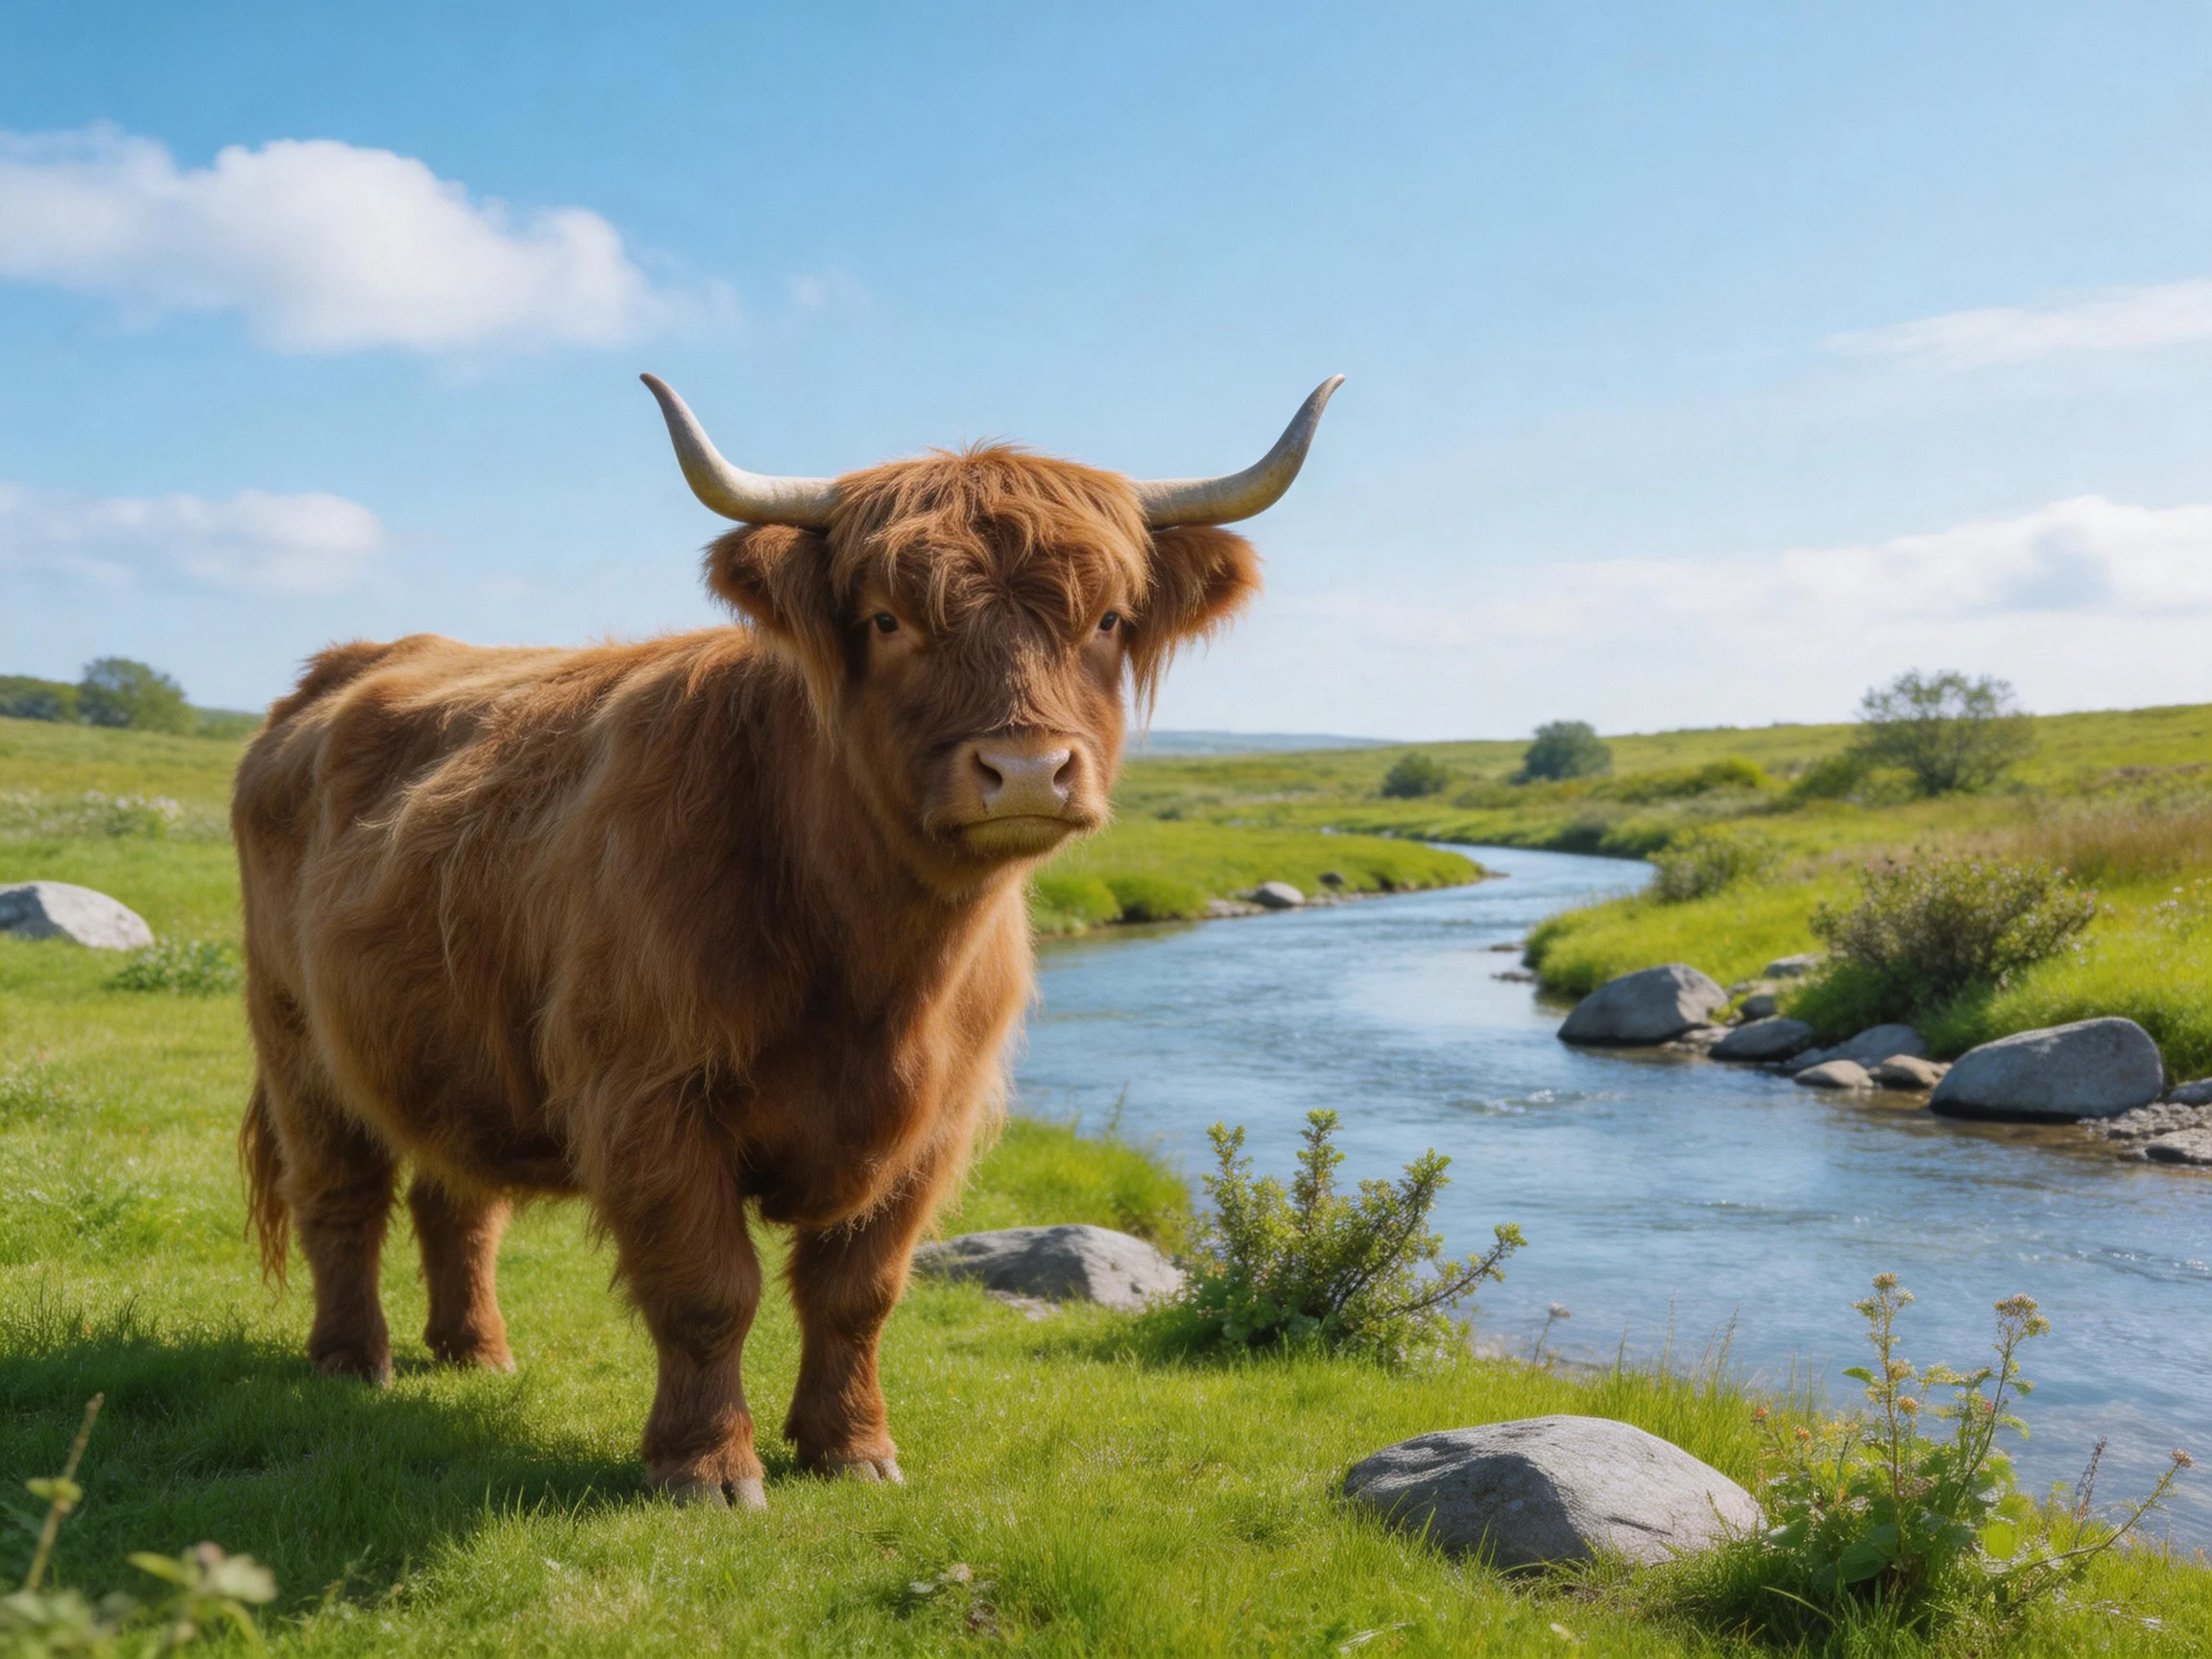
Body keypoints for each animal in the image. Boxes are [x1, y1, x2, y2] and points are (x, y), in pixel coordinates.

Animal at [232, 372, 1341, 1507]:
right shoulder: (648, 1095)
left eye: (1110, 618)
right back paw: (352, 1361)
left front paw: (852, 1448)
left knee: (458, 1197)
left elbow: (859, 1291)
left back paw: (476, 1352)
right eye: (889, 618)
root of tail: (338, 670)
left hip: (448, 1046)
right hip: (297, 1039)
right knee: (341, 1196)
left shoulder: (932, 1125)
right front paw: (708, 1468)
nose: (1027, 770)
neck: (878, 970)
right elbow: (708, 1289)